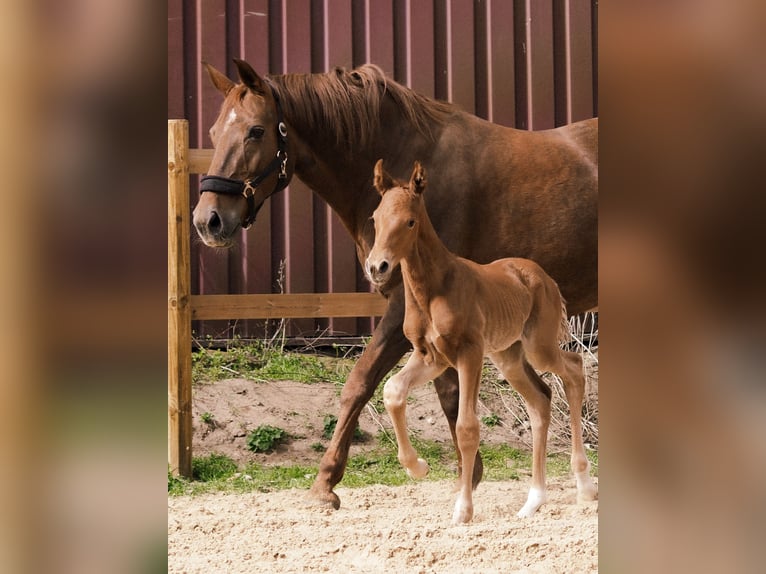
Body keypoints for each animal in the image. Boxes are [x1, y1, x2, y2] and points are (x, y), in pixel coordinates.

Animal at [368, 160, 600, 524]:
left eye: (410, 221)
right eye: (375, 218)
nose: (377, 267)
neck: (433, 288)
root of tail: (545, 278)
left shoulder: (469, 354)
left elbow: (467, 427)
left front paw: (463, 509)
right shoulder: (430, 357)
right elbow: (392, 391)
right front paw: (417, 467)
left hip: (538, 347)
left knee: (574, 370)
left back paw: (585, 486)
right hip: (509, 356)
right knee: (540, 400)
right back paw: (533, 501)